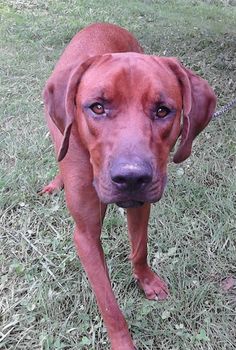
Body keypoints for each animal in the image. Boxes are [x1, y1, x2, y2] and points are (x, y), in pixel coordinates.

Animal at [42, 23, 216, 348]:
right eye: (97, 107)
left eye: (162, 110)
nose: (132, 177)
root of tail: (101, 24)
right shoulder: (85, 235)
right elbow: (109, 305)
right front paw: (123, 341)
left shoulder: (141, 205)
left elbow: (140, 248)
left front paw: (146, 281)